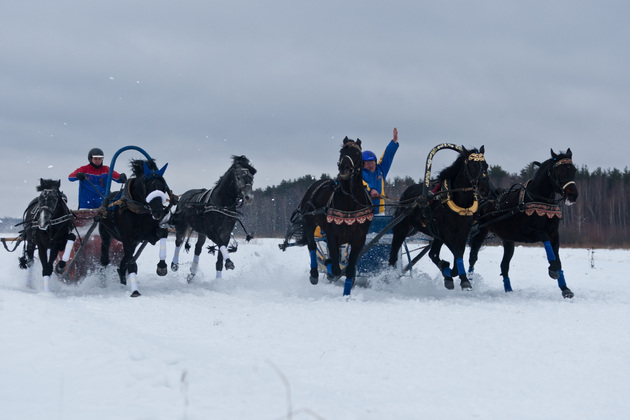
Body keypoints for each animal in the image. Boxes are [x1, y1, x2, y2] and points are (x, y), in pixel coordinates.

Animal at [98, 159, 173, 297]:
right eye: (147, 185)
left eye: (163, 186)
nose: (158, 212)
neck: (138, 210)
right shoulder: (127, 239)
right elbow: (131, 264)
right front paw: (135, 291)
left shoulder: (148, 235)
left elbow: (163, 232)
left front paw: (162, 267)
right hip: (106, 234)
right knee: (105, 258)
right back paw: (103, 282)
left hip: (135, 243)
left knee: (122, 265)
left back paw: (122, 282)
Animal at [281, 137, 373, 296]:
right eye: (341, 151)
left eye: (356, 153)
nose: (344, 168)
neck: (350, 201)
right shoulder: (332, 236)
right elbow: (335, 268)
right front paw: (328, 267)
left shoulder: (359, 240)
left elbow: (349, 269)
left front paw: (346, 295)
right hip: (309, 222)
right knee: (311, 245)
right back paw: (314, 274)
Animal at [388, 146, 488, 291]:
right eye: (473, 166)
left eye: (486, 165)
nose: (485, 188)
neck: (459, 202)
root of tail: (405, 195)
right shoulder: (446, 233)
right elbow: (457, 253)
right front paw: (463, 279)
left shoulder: (462, 233)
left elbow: (458, 254)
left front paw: (451, 272)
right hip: (401, 229)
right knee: (393, 254)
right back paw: (388, 278)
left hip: (435, 236)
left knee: (433, 254)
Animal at [468, 148, 579, 298]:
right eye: (560, 171)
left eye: (573, 170)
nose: (573, 194)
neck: (536, 199)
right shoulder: (527, 233)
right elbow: (545, 239)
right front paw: (553, 269)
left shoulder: (554, 234)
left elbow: (558, 257)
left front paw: (565, 288)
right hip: (480, 232)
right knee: (473, 258)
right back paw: (469, 283)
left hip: (508, 240)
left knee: (504, 265)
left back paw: (508, 290)